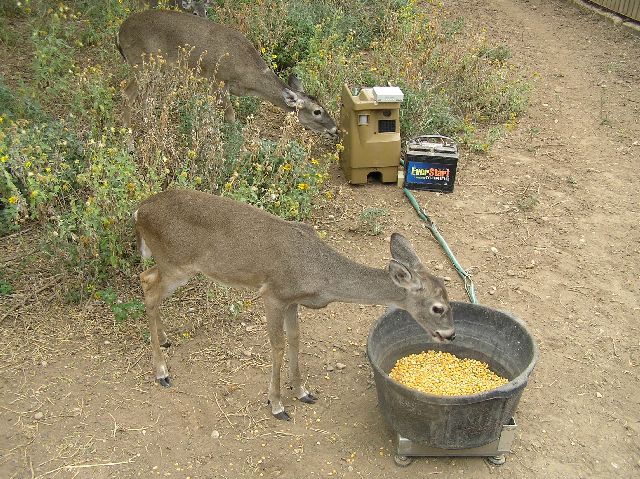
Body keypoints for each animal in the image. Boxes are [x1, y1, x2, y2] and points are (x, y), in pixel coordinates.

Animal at [117, 9, 338, 139]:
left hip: (156, 68)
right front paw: (233, 144)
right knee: (127, 93)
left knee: (145, 96)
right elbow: (230, 116)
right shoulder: (218, 80)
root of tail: (120, 32)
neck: (249, 77)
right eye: (317, 111)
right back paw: (128, 139)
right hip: (141, 62)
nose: (335, 129)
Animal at [134, 189, 456, 422]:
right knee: (148, 288)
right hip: (177, 264)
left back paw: (165, 339)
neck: (320, 272)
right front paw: (277, 404)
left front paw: (302, 391)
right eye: (438, 307)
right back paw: (162, 372)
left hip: (173, 265)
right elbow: (276, 345)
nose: (451, 334)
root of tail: (140, 209)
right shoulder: (273, 294)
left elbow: (295, 339)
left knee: (145, 277)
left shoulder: (292, 302)